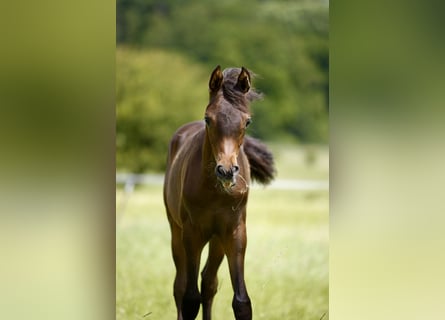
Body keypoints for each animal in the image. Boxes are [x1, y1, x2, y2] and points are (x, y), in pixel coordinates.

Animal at [163, 65, 274, 320]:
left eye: (247, 122)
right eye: (208, 119)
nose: (226, 171)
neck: (215, 193)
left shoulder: (234, 232)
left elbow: (241, 302)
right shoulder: (192, 233)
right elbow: (190, 299)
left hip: (216, 240)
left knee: (208, 282)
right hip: (176, 230)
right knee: (180, 285)